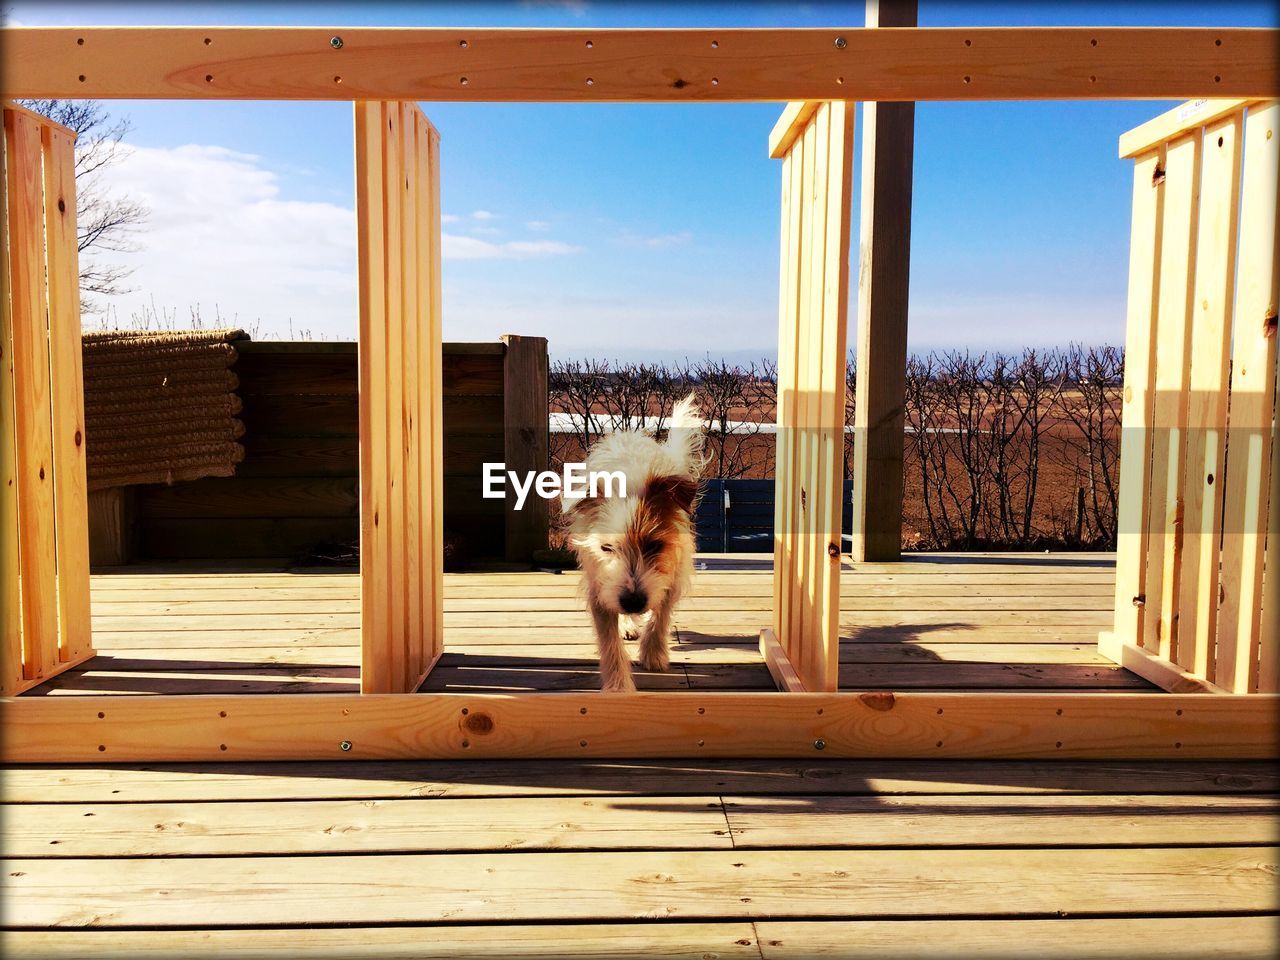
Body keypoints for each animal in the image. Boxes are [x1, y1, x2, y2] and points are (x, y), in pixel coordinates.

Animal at [568, 394, 706, 696]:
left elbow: (661, 614)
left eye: (654, 546)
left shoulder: (671, 575)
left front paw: (654, 654)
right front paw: (619, 687)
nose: (632, 602)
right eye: (606, 548)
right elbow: (608, 641)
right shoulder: (600, 586)